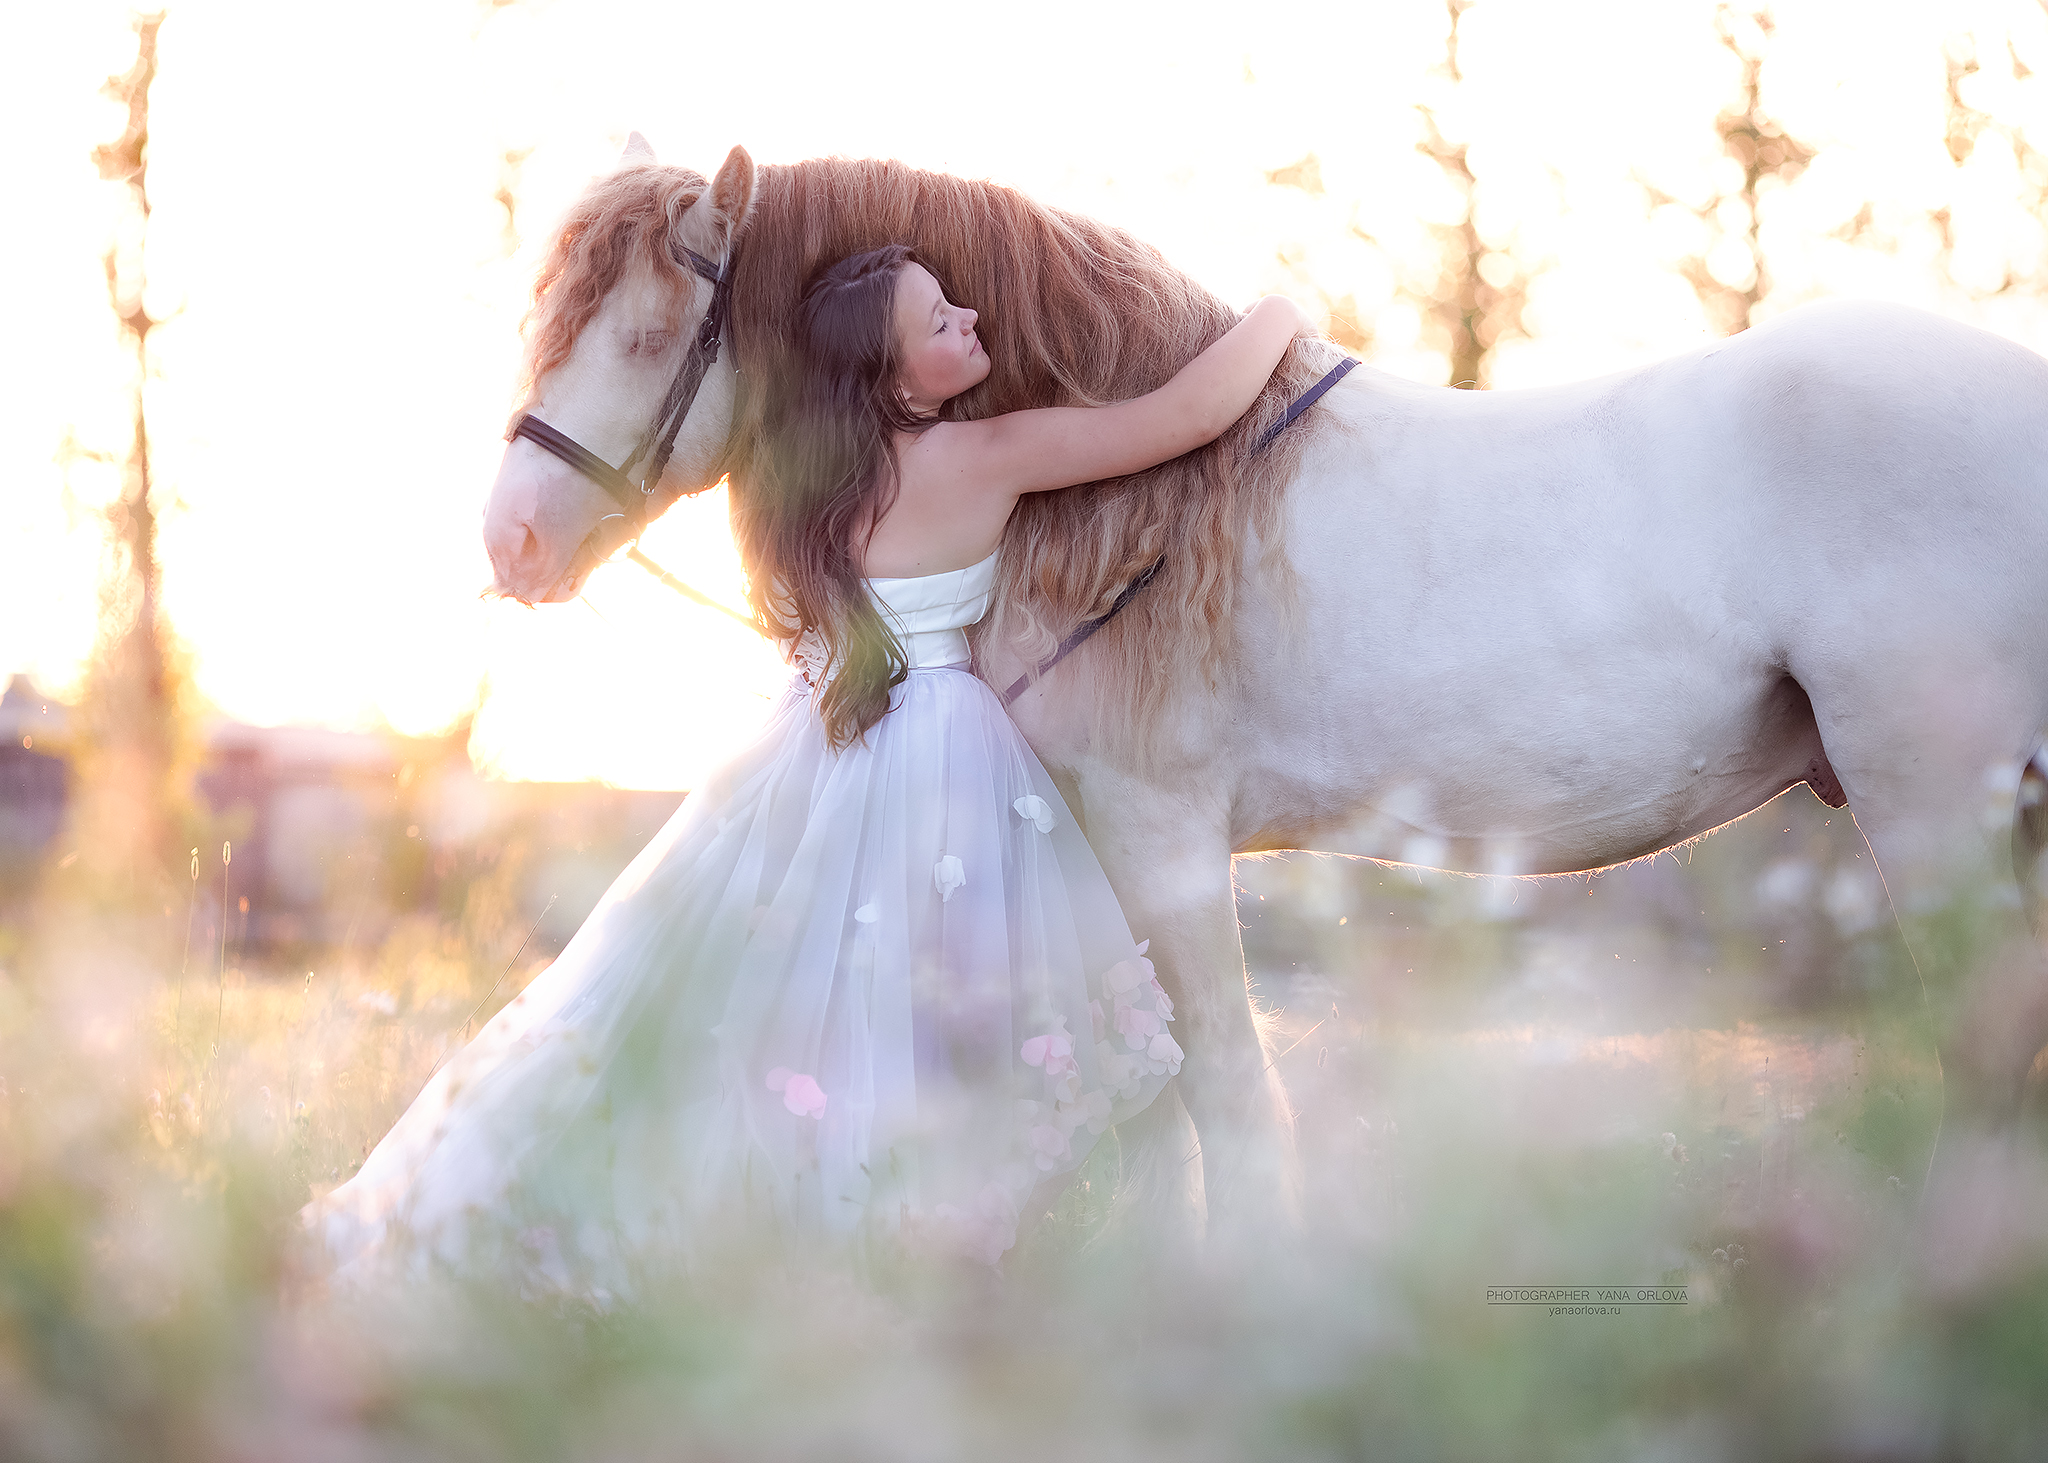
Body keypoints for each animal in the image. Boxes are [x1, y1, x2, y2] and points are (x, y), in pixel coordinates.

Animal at [475, 142, 2048, 1221]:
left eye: (641, 336)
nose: (510, 543)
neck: (1136, 502)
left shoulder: (1162, 843)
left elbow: (1230, 1102)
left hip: (1938, 813)